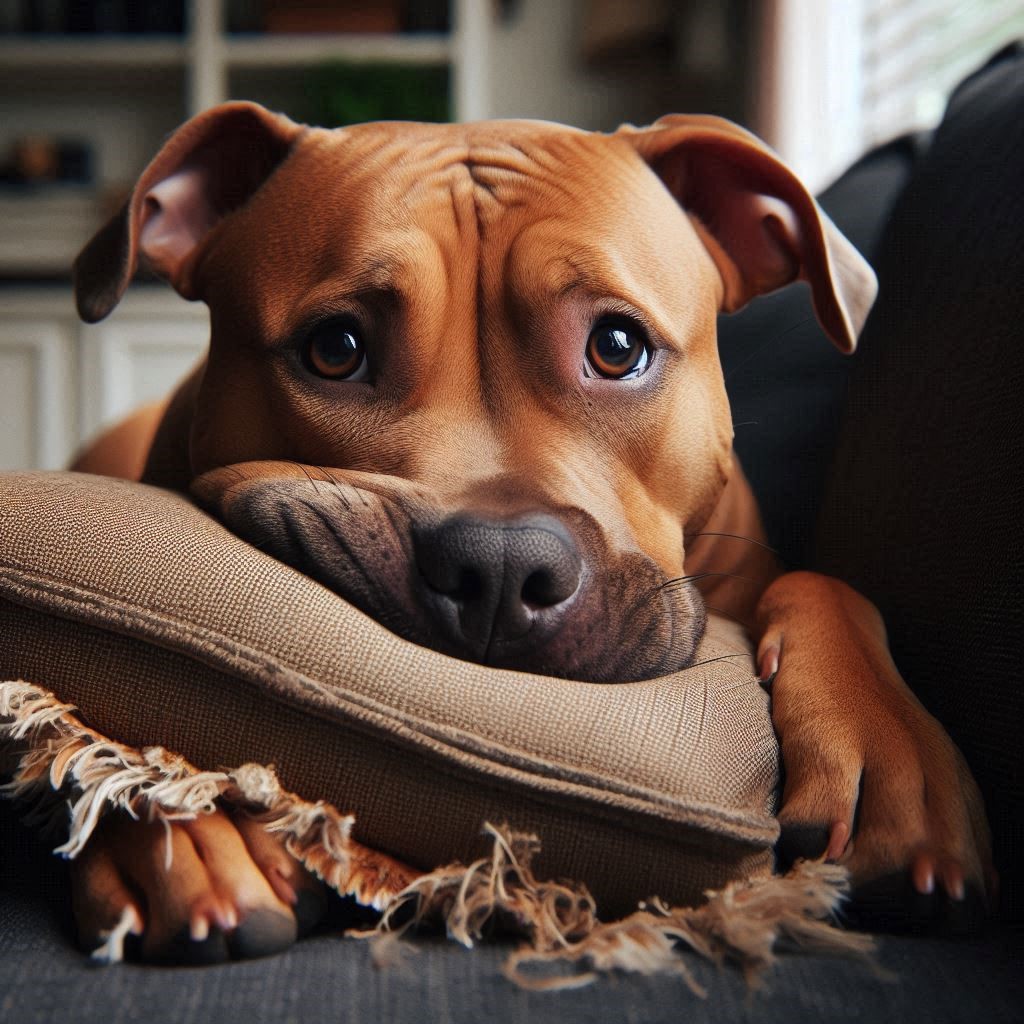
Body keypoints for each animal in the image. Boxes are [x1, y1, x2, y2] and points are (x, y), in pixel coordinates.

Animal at [66, 103, 991, 958]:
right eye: (335, 348)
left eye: (617, 345)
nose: (501, 568)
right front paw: (180, 823)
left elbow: (825, 581)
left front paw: (890, 747)